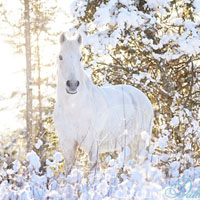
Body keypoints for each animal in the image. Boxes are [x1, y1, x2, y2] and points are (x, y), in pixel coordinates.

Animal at [53, 33, 153, 173]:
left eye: (80, 58)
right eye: (60, 57)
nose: (72, 84)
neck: (74, 108)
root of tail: (144, 97)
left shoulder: (92, 144)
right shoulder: (67, 144)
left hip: (139, 143)